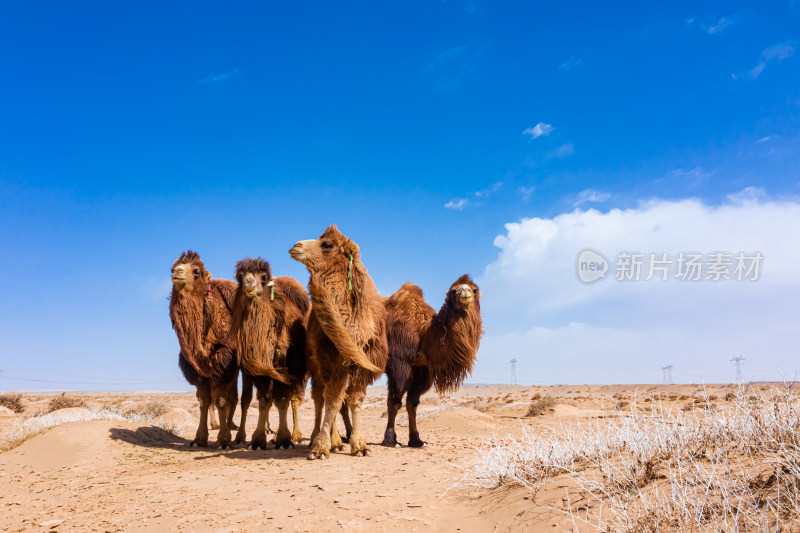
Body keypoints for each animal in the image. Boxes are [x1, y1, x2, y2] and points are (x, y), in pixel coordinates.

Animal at [170, 250, 239, 448]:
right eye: (172, 267)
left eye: (196, 271)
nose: (176, 272)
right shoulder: (195, 367)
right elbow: (203, 399)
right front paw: (199, 438)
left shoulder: (225, 357)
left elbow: (220, 398)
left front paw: (223, 440)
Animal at [231, 258, 310, 448]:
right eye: (240, 275)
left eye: (264, 277)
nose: (249, 282)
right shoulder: (256, 366)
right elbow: (262, 399)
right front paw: (257, 439)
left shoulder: (284, 360)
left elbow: (282, 399)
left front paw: (284, 439)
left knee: (295, 398)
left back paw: (295, 435)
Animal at [290, 223, 390, 458]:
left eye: (326, 244)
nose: (296, 246)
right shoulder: (332, 358)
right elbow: (333, 400)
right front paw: (320, 447)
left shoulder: (365, 362)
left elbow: (355, 399)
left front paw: (360, 445)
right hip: (314, 364)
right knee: (320, 397)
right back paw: (321, 439)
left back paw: (336, 442)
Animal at [380, 276, 484, 446]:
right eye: (454, 290)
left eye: (474, 289)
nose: (465, 292)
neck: (423, 332)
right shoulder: (399, 364)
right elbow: (394, 402)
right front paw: (390, 439)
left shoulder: (421, 369)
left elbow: (412, 403)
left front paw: (416, 440)